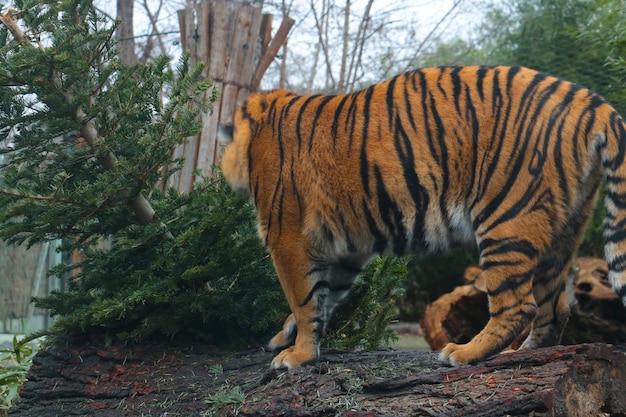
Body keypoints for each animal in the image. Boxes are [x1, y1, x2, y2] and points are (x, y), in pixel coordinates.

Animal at [218, 65, 624, 368]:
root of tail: (592, 102)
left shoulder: (287, 236)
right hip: (563, 230)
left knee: (518, 305)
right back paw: (525, 354)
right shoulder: (346, 250)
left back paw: (464, 353)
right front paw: (287, 337)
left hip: (508, 219)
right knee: (556, 308)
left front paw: (298, 354)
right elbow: (325, 296)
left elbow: (303, 300)